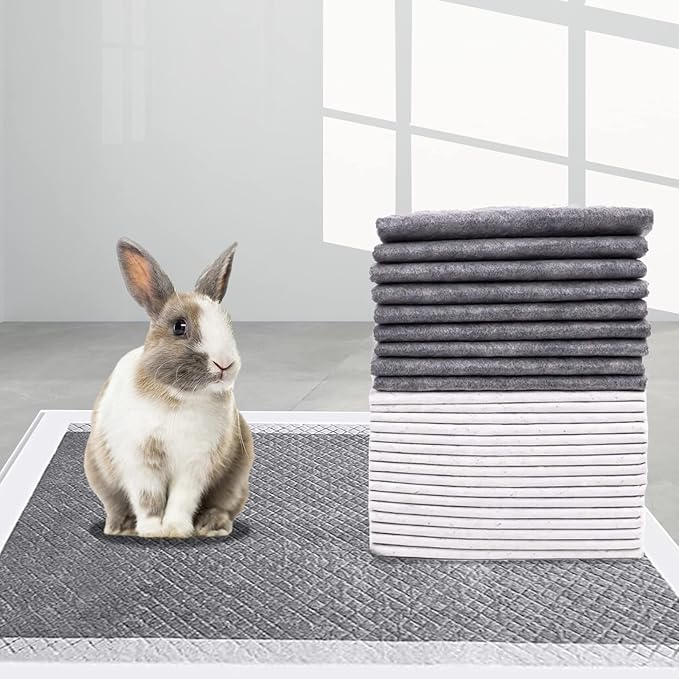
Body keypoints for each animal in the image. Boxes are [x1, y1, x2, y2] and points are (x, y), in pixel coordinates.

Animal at [84, 238, 254, 539]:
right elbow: (148, 498)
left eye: (228, 323)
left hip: (236, 478)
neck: (178, 397)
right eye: (179, 327)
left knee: (223, 505)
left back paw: (211, 527)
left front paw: (175, 529)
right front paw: (153, 531)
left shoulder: (195, 464)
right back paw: (121, 528)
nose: (225, 364)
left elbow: (182, 498)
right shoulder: (140, 460)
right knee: (116, 504)